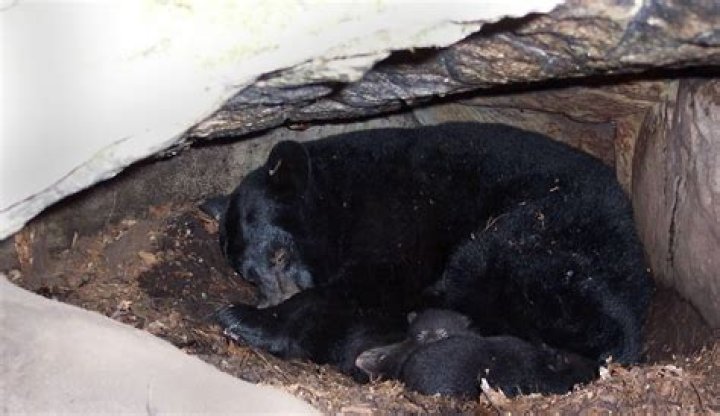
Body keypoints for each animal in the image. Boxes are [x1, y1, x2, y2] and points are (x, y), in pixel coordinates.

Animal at [207, 122, 653, 373]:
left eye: (280, 254)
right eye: (248, 275)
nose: (269, 298)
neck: (341, 198)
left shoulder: (397, 215)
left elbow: (374, 277)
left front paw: (247, 318)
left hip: (540, 232)